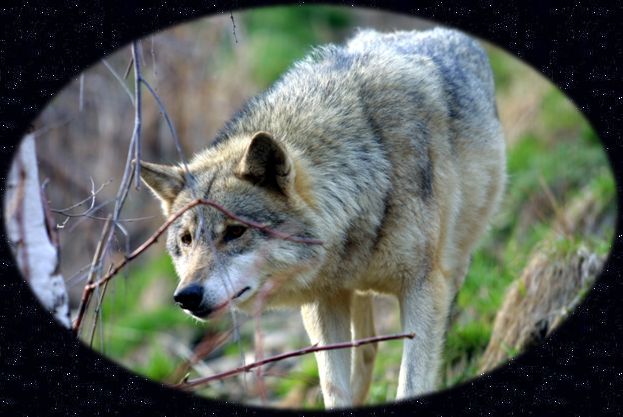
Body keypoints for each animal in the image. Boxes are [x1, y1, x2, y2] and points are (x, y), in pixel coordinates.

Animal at [138, 27, 508, 408]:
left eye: (235, 232)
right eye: (186, 240)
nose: (186, 296)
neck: (371, 173)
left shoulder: (424, 289)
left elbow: (412, 381)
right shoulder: (321, 304)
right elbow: (334, 387)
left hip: (455, 266)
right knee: (367, 349)